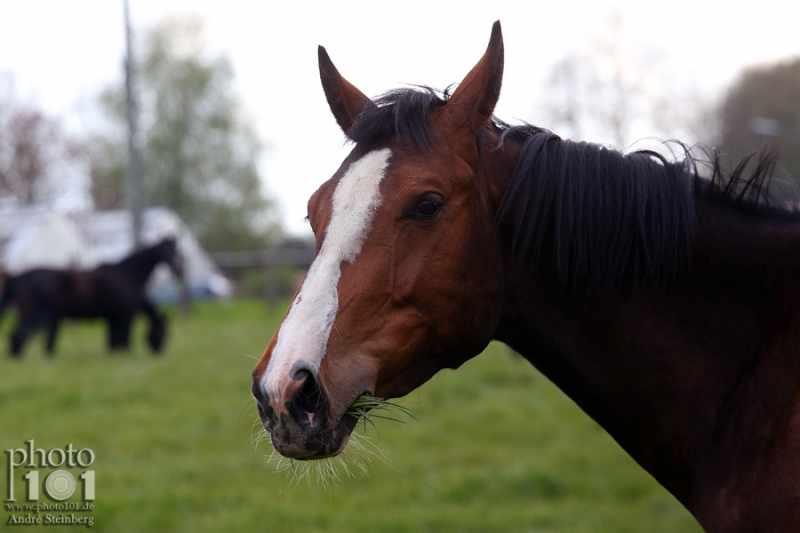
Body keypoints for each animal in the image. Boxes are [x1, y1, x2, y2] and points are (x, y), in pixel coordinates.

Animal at [0, 238, 181, 358]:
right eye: (168, 250)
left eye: (176, 249)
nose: (178, 267)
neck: (128, 274)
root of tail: (19, 277)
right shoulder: (125, 315)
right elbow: (123, 340)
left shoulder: (112, 318)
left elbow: (112, 342)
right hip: (38, 316)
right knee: (20, 337)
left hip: (30, 315)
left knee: (18, 337)